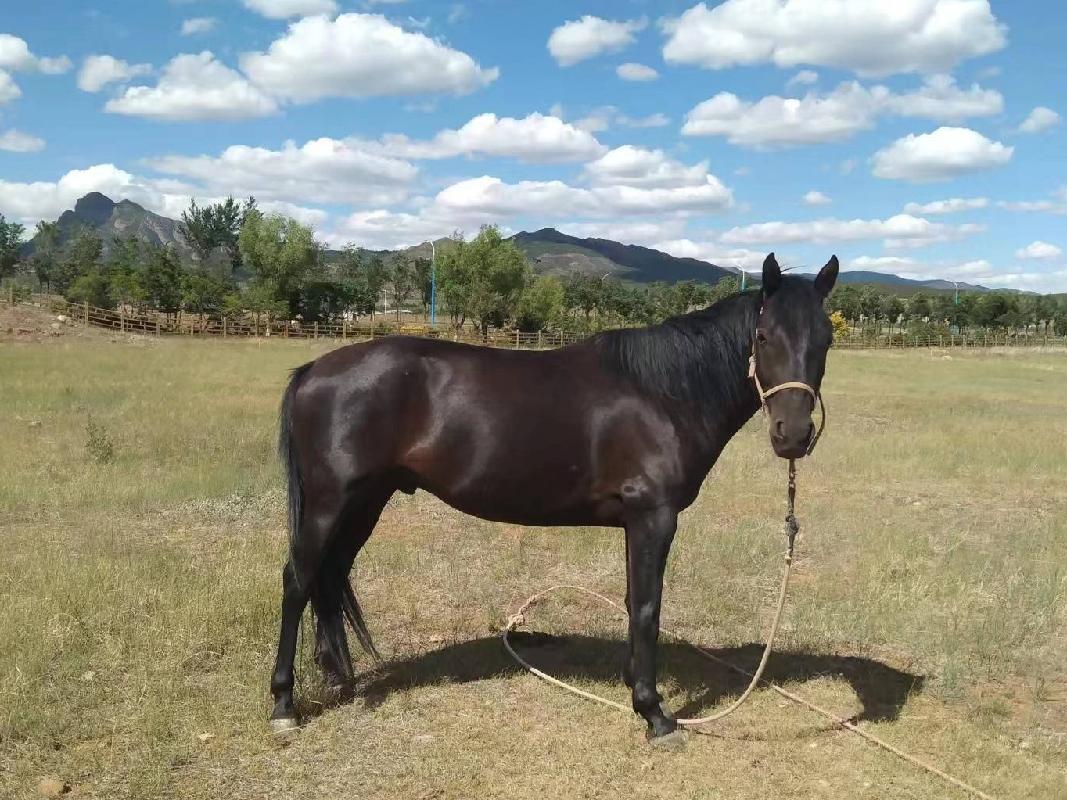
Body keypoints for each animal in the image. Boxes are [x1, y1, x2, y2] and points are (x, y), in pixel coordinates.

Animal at [269, 252, 839, 745]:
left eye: (826, 339)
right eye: (763, 336)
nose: (793, 435)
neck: (663, 393)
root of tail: (313, 370)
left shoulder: (636, 522)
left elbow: (633, 599)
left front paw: (634, 687)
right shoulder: (653, 516)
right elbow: (648, 605)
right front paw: (654, 713)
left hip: (366, 501)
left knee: (331, 576)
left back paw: (340, 677)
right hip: (330, 503)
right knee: (299, 581)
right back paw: (283, 706)